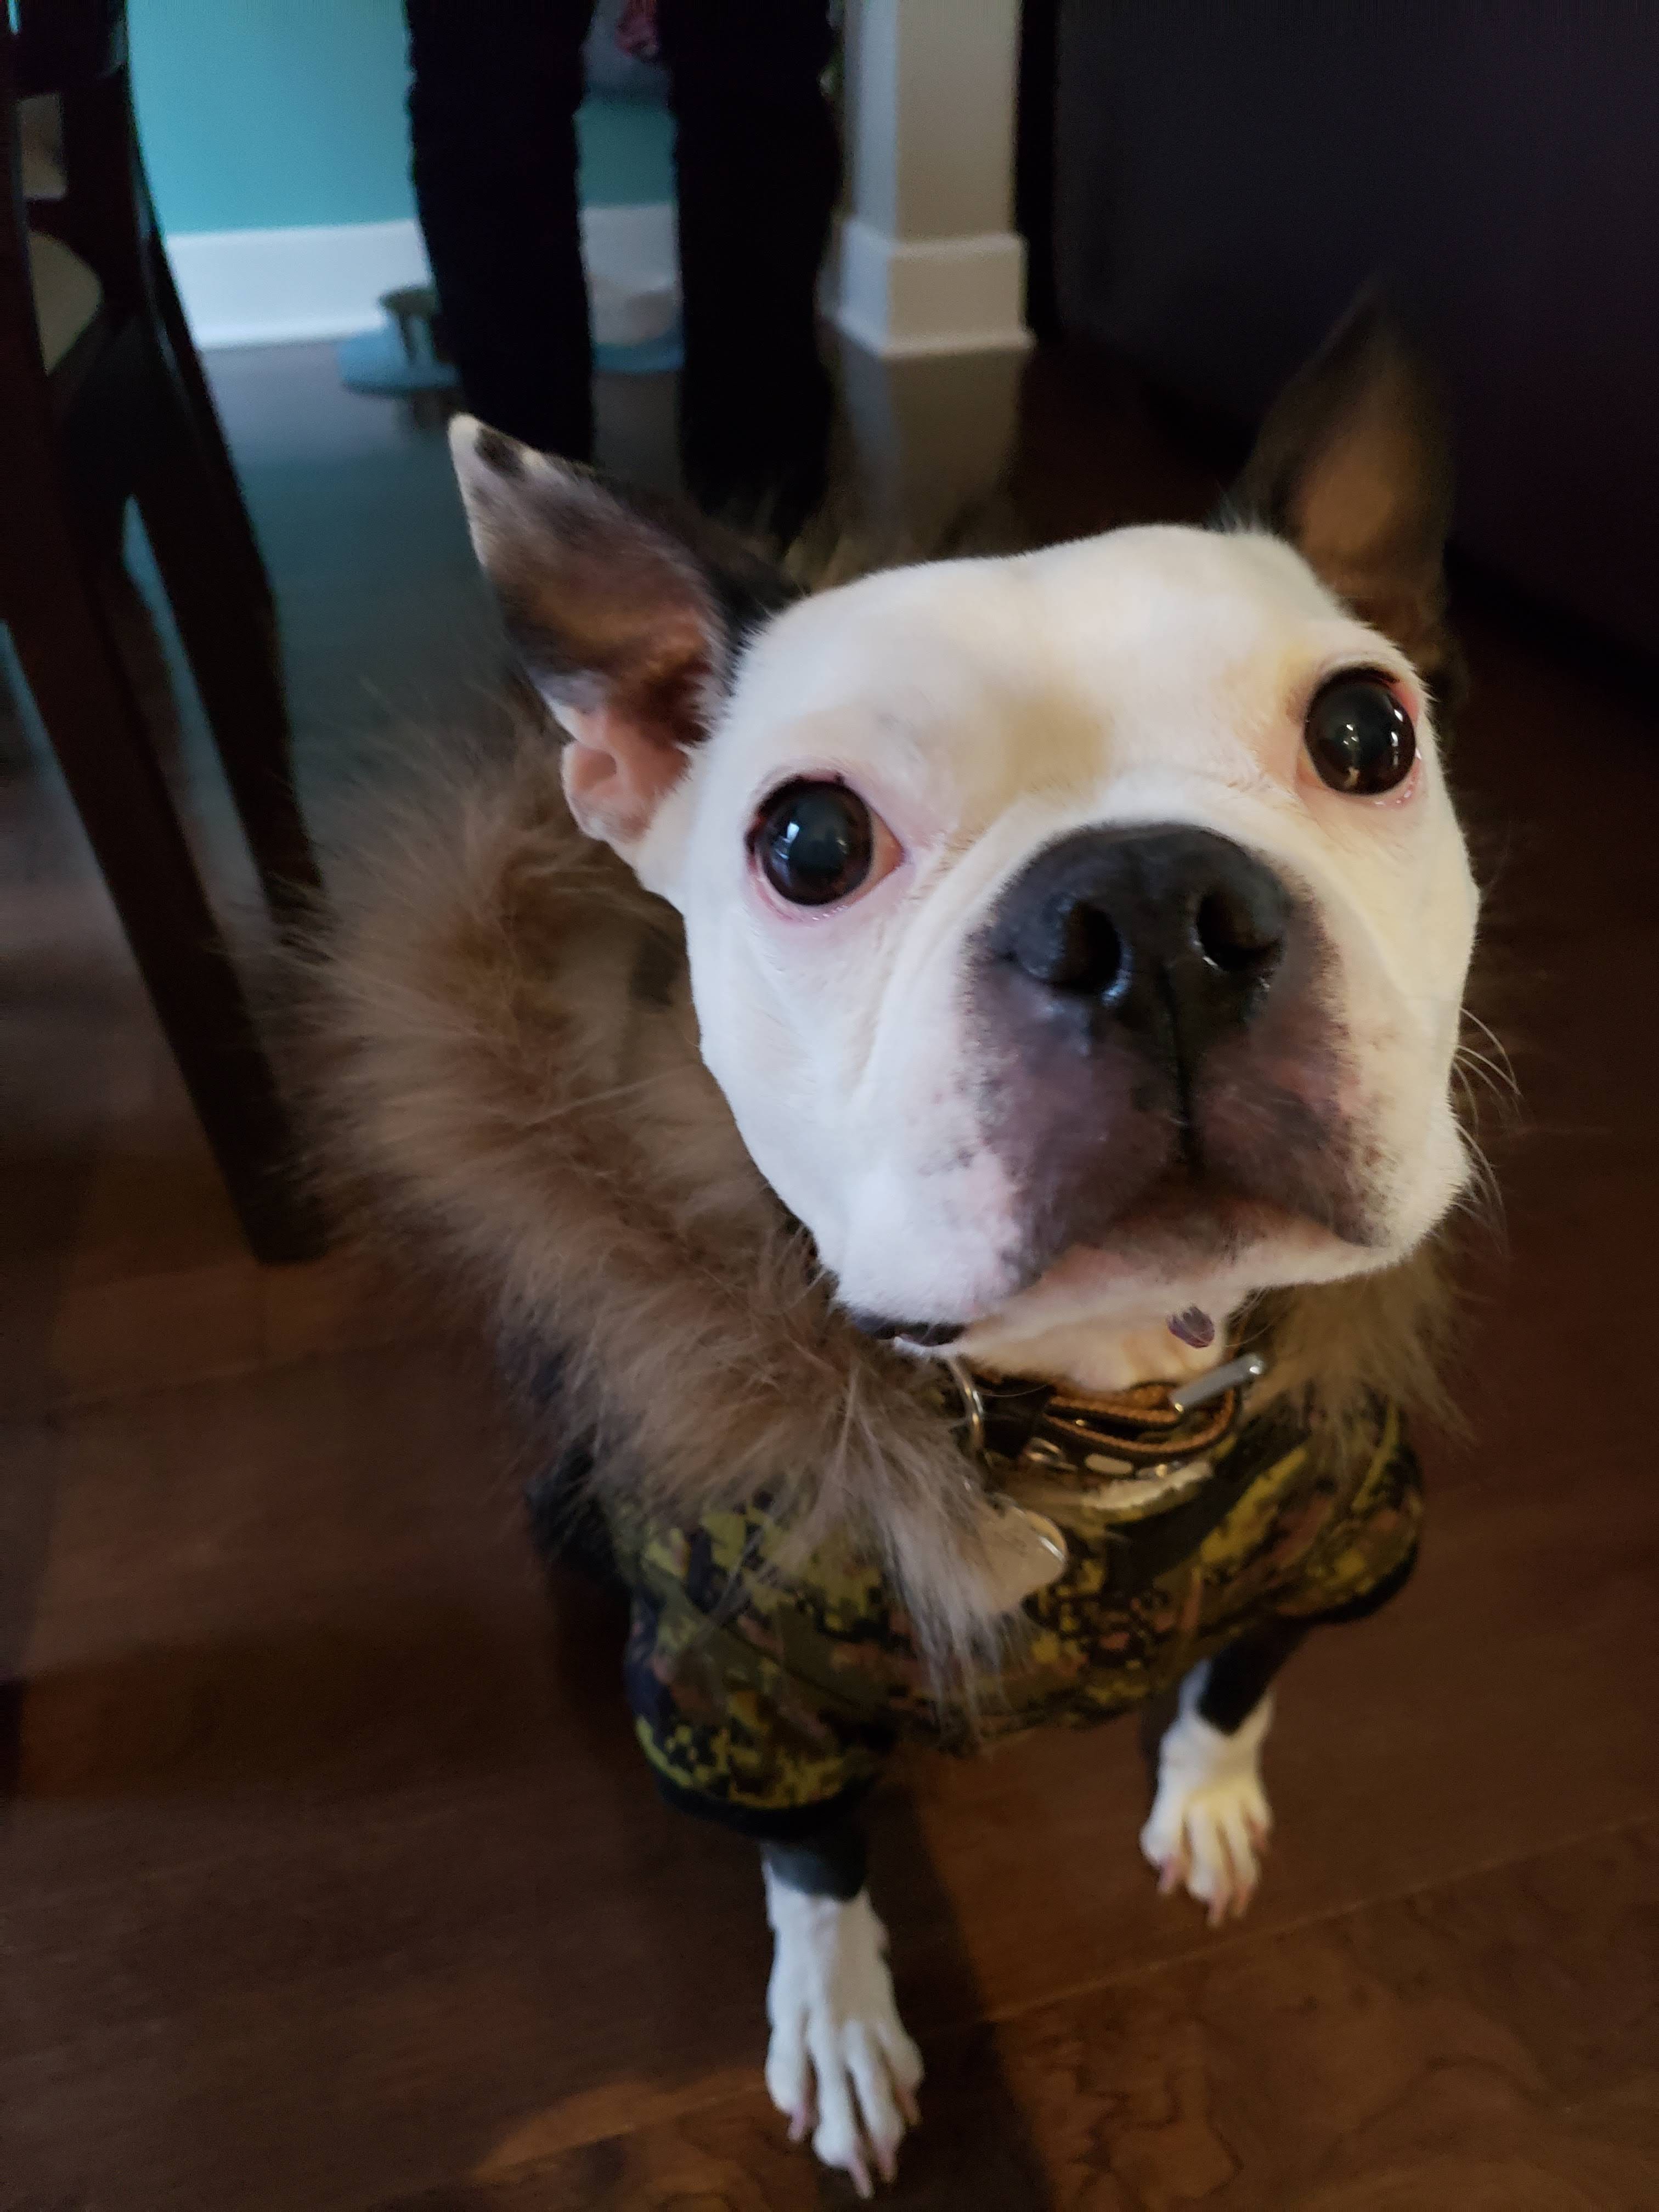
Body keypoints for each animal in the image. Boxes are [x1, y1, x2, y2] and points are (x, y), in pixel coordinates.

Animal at [315, 304, 1478, 2195]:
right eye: (810, 840)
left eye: (1371, 731)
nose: (1149, 912)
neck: (1100, 1413)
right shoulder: (744, 1695)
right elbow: (814, 1863)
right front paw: (842, 2013)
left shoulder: (1341, 1538)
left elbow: (1237, 1676)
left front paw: (1208, 1796)